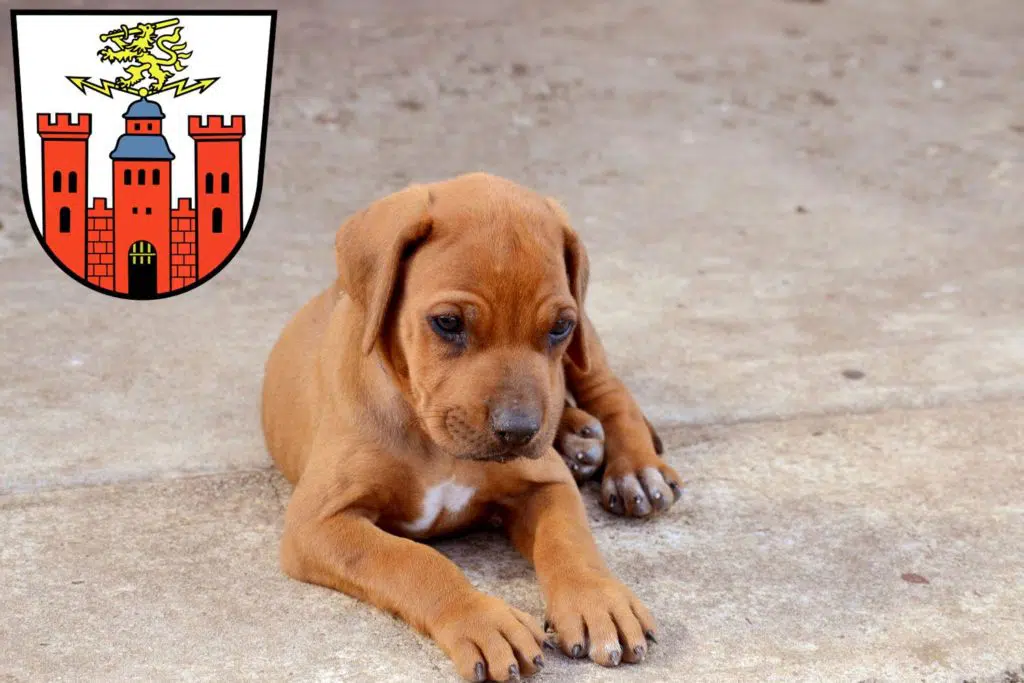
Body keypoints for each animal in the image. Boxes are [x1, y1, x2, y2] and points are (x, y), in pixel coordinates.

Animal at [260, 174, 684, 679]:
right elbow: (412, 560)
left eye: (559, 328)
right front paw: (480, 618)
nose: (519, 431)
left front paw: (596, 598)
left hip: (588, 347)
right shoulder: (320, 523)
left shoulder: (546, 483)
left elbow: (569, 540)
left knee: (608, 390)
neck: (430, 438)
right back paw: (576, 437)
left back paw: (633, 469)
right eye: (447, 322)